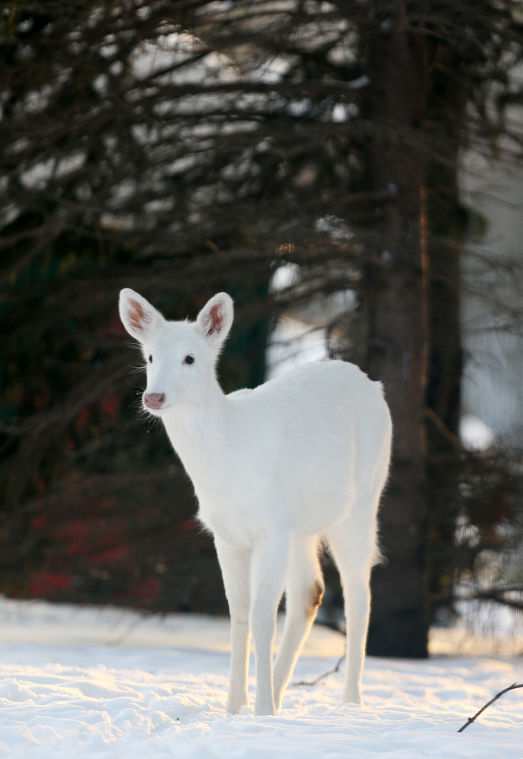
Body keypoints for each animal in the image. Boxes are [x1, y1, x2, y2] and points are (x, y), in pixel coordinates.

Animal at [119, 288, 392, 716]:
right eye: (149, 356)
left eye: (190, 358)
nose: (154, 396)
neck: (227, 461)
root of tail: (372, 385)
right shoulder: (227, 535)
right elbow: (239, 615)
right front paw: (235, 707)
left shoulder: (271, 530)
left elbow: (262, 618)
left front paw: (260, 709)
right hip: (302, 527)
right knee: (310, 592)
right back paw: (281, 692)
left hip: (361, 505)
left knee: (358, 597)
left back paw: (349, 700)